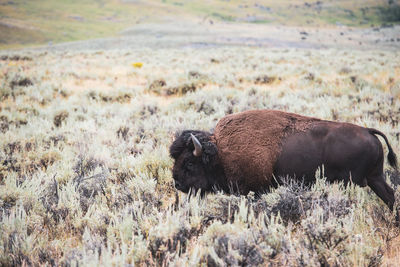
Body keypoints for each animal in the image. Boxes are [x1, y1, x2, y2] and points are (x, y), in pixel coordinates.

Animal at [170, 110, 396, 210]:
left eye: (189, 162)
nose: (177, 183)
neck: (220, 153)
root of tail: (368, 131)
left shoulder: (253, 190)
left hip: (361, 180)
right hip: (375, 177)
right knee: (390, 195)